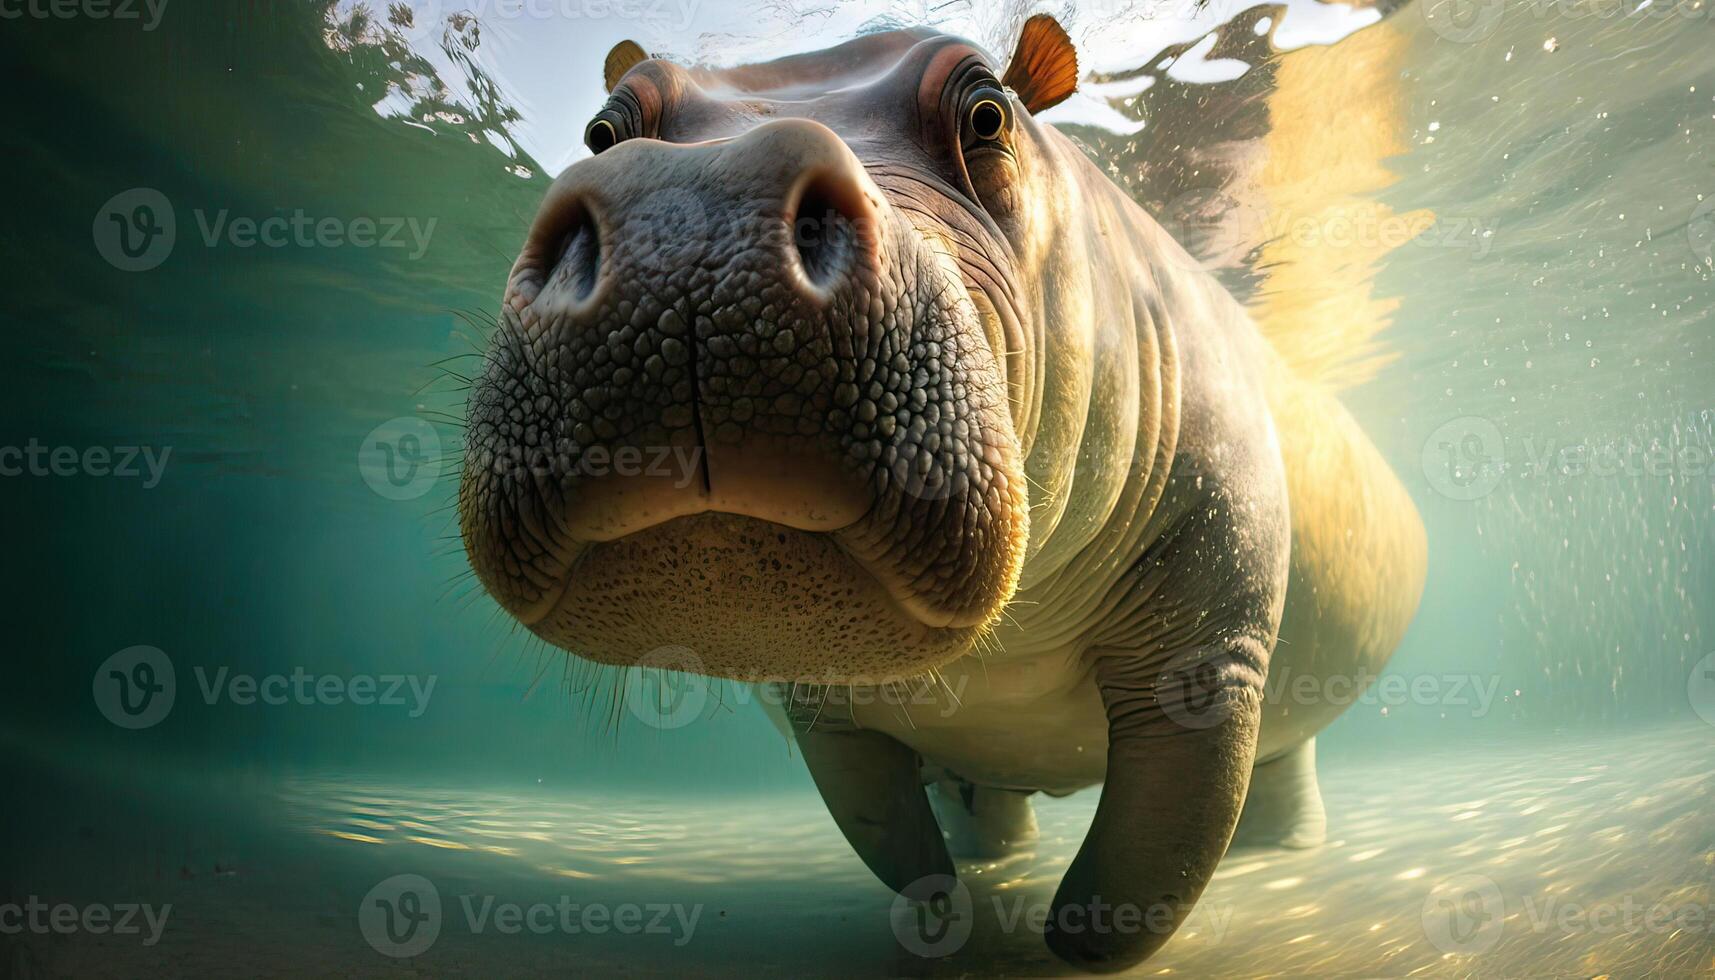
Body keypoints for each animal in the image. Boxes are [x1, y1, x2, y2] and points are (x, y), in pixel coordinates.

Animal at [463, 17, 1426, 974]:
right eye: (601, 132)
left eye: (987, 114)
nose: (695, 198)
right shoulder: (819, 705)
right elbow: (882, 824)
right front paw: (945, 909)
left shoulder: (1208, 652)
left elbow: (1158, 843)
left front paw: (1073, 939)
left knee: (1274, 769)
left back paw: (1276, 855)